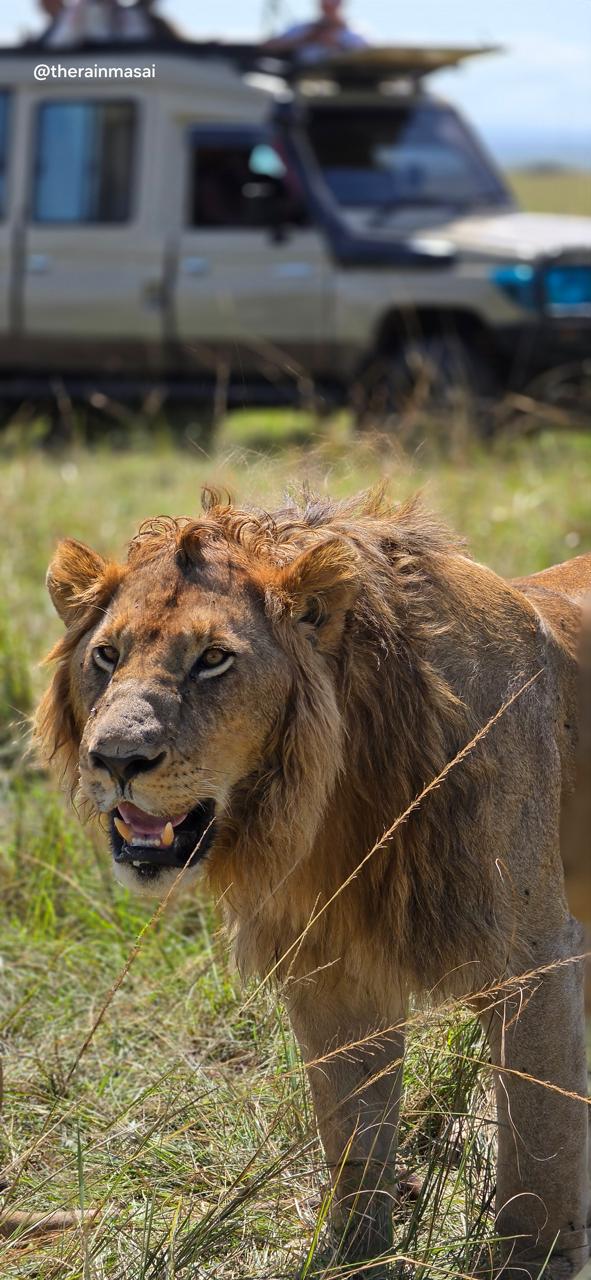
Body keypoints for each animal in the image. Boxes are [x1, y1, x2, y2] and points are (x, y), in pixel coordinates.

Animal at [35, 490, 591, 1278]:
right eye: (106, 655)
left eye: (213, 659)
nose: (115, 758)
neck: (334, 804)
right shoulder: (330, 972)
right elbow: (353, 1132)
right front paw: (349, 1255)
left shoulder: (536, 958)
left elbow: (541, 1141)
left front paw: (527, 1263)